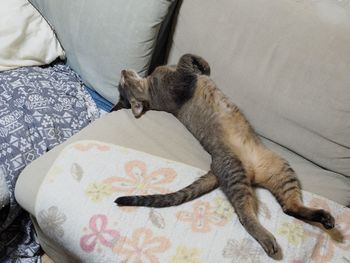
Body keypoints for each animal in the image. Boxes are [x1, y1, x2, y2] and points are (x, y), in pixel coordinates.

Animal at [113, 53, 334, 258]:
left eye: (121, 83)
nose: (122, 70)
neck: (149, 86)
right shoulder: (179, 83)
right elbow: (185, 58)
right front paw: (201, 64)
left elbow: (185, 62)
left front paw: (200, 66)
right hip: (236, 172)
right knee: (246, 214)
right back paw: (268, 239)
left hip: (281, 168)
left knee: (289, 206)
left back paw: (325, 218)